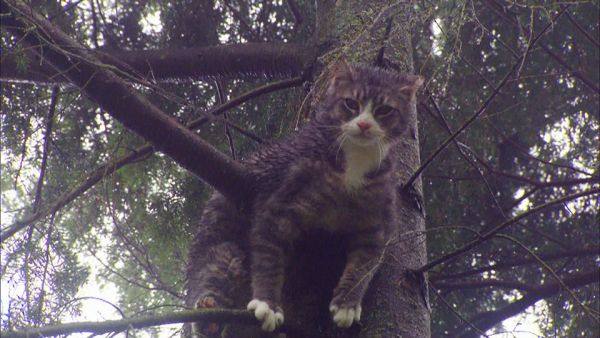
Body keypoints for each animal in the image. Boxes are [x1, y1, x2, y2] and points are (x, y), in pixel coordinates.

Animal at [185, 61, 424, 336]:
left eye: (384, 110)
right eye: (351, 103)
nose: (364, 124)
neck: (355, 161)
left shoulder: (377, 222)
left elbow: (364, 267)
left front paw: (347, 305)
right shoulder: (281, 201)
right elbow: (268, 257)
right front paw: (267, 304)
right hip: (221, 251)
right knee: (213, 277)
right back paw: (209, 310)